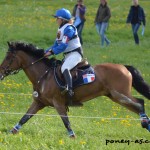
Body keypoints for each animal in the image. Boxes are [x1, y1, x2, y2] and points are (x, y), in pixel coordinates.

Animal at [0, 41, 150, 138]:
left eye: (8, 57)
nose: (0, 72)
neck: (44, 75)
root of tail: (124, 67)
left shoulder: (58, 103)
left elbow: (66, 122)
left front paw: (73, 137)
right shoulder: (39, 103)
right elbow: (25, 117)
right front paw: (11, 132)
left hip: (120, 95)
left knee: (140, 103)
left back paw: (145, 123)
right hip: (115, 96)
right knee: (137, 106)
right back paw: (146, 124)